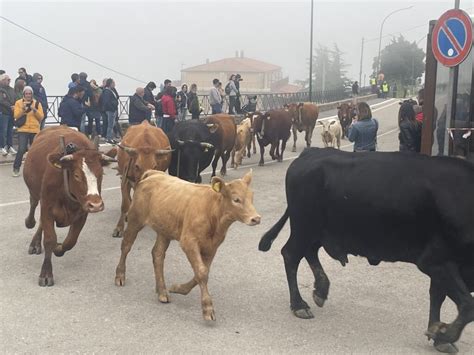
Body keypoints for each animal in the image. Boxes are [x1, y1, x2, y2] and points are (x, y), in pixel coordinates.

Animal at [23, 126, 115, 288]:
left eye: (101, 174)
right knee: (33, 206)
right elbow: (49, 239)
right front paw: (46, 273)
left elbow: (71, 241)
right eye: (77, 175)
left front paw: (58, 248)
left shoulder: (83, 212)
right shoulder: (47, 207)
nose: (96, 205)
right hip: (35, 192)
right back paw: (31, 229)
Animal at [115, 171, 262, 322]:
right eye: (236, 199)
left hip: (164, 230)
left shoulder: (212, 247)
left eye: (252, 196)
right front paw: (207, 308)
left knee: (158, 254)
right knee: (126, 246)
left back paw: (162, 290)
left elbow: (202, 272)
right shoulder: (189, 242)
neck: (211, 211)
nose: (256, 218)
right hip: (135, 220)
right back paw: (120, 275)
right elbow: (201, 272)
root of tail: (154, 174)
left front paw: (178, 288)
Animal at [260, 147, 474, 354]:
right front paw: (445, 334)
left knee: (309, 252)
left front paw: (438, 334)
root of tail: (310, 152)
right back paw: (299, 305)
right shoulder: (434, 260)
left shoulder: (447, 264)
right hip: (305, 225)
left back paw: (320, 289)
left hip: (317, 230)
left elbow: (439, 295)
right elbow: (467, 305)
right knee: (291, 254)